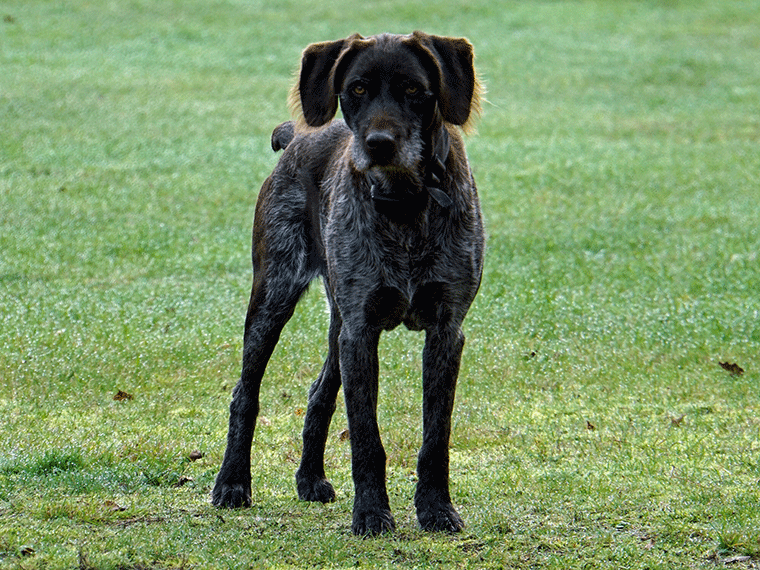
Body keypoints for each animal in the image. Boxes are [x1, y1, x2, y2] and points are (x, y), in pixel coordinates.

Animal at [212, 31, 486, 532]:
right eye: (356, 89)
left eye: (413, 90)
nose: (379, 143)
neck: (404, 204)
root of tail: (296, 137)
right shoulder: (362, 333)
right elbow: (365, 436)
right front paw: (373, 514)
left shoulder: (444, 332)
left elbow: (435, 434)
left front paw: (436, 508)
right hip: (274, 298)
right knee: (245, 393)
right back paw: (232, 482)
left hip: (337, 324)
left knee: (319, 393)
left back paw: (309, 478)